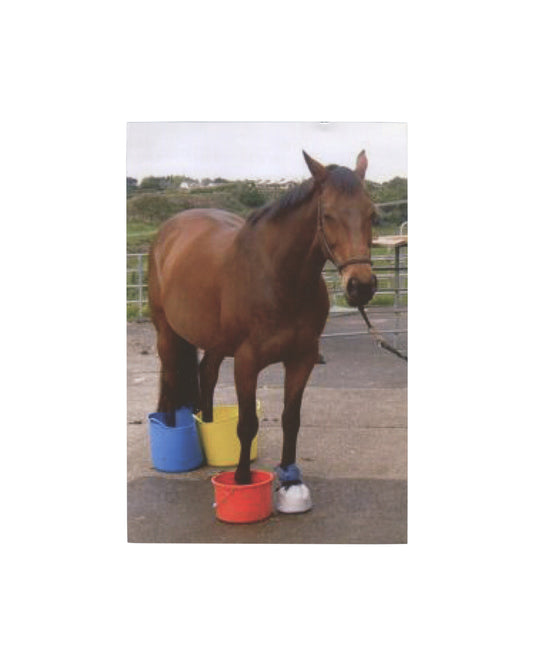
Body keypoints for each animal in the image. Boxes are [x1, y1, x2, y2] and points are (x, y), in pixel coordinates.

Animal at [148, 150, 378, 512]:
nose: (361, 286)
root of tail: (167, 232)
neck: (279, 278)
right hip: (167, 334)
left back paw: (209, 426)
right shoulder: (247, 362)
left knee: (207, 375)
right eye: (327, 215)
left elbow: (291, 419)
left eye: (372, 214)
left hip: (214, 342)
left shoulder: (302, 359)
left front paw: (290, 479)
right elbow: (247, 425)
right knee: (171, 383)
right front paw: (242, 481)